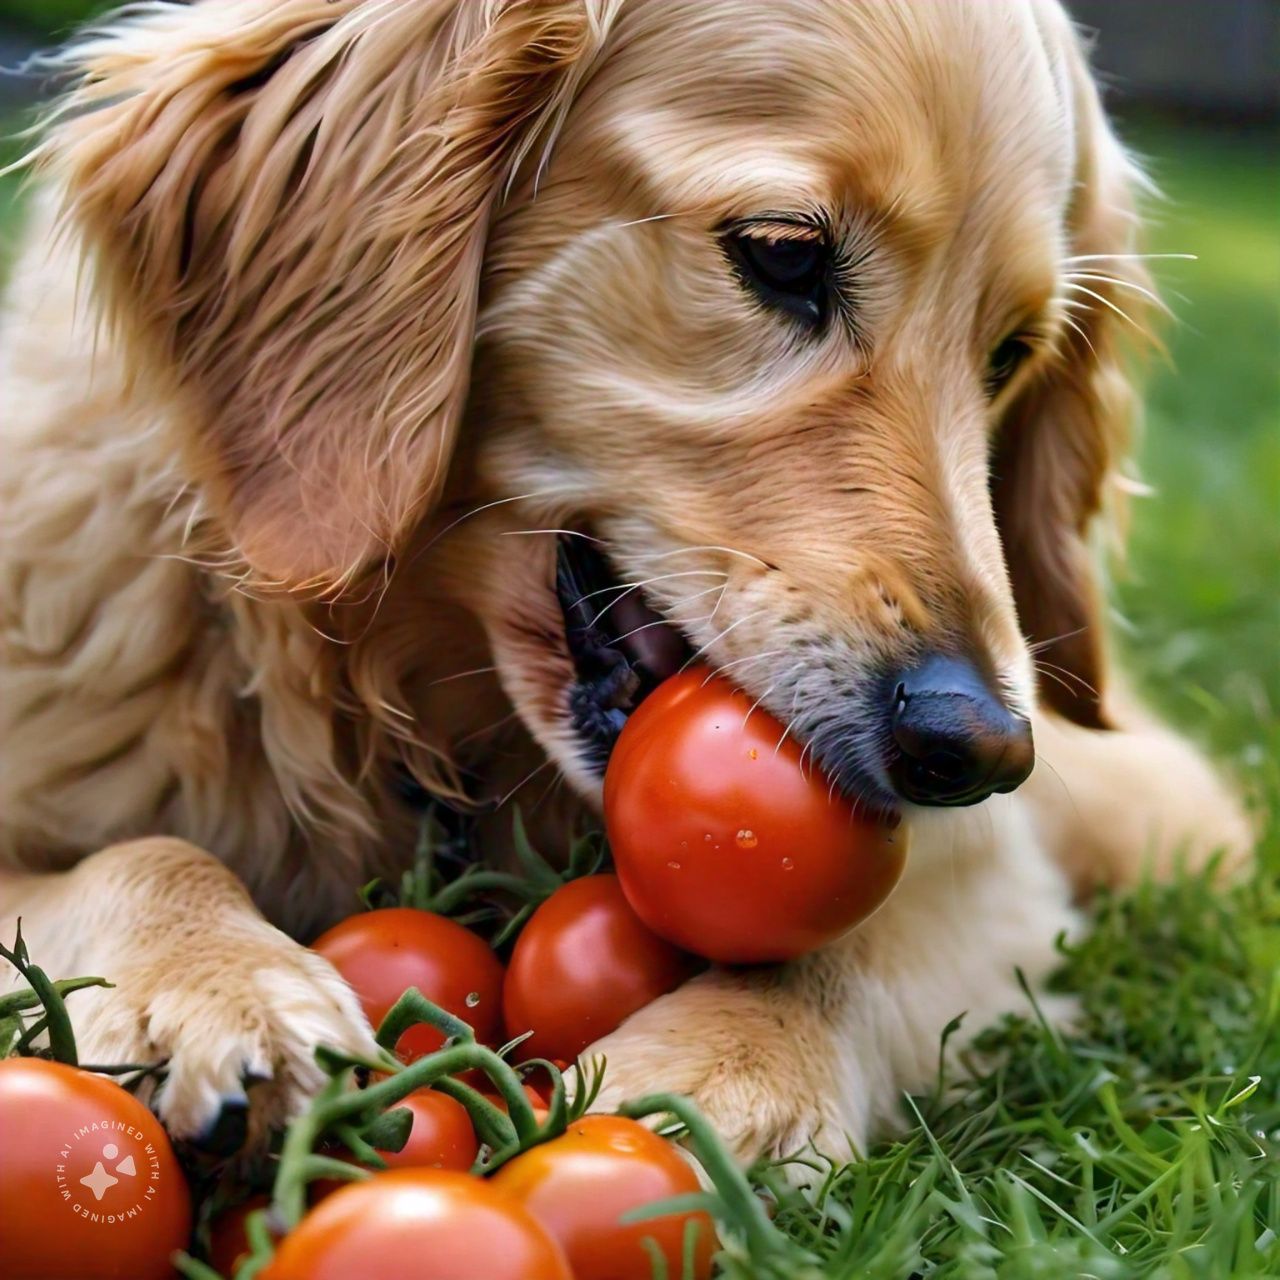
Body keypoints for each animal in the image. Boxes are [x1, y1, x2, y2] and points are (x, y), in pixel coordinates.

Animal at [0, 0, 1249, 1162]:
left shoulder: (989, 876)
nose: (977, 747)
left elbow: (843, 945)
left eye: (1007, 356)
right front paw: (218, 984)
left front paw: (724, 1071)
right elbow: (140, 855)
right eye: (782, 253)